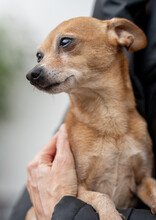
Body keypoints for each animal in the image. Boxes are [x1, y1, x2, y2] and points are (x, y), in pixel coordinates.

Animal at [26, 16, 156, 219]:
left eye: (65, 41)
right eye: (39, 55)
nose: (32, 74)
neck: (109, 120)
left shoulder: (144, 179)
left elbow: (154, 191)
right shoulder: (79, 189)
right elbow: (102, 196)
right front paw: (111, 215)